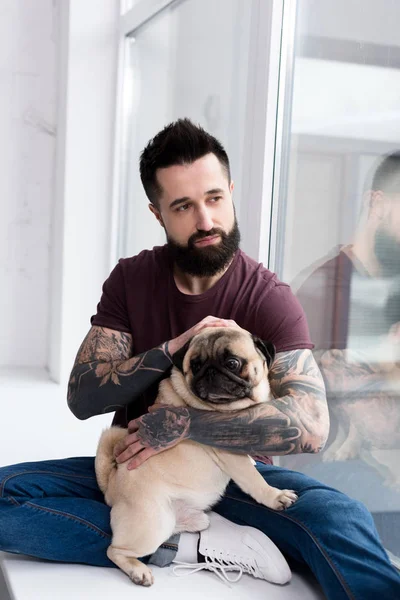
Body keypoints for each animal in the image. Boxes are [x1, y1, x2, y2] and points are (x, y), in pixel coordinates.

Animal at [96, 328, 296, 584]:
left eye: (232, 363)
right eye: (196, 365)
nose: (209, 371)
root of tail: (110, 486)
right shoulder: (231, 451)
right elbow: (255, 480)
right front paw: (275, 496)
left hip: (187, 520)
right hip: (154, 523)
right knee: (114, 551)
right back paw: (138, 571)